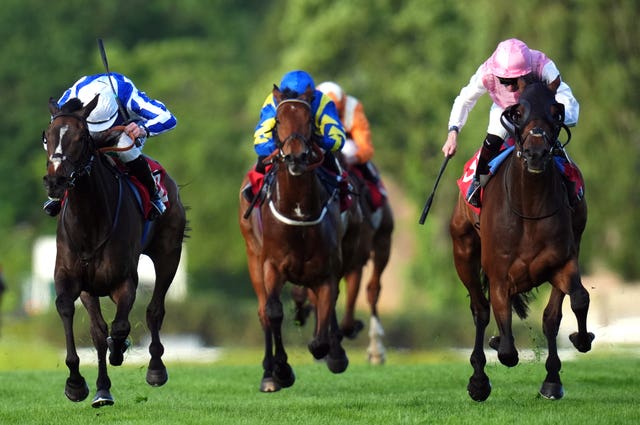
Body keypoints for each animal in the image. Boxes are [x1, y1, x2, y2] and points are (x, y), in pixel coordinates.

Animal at [43, 94, 185, 406]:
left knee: (155, 310)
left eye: (81, 137)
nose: (56, 181)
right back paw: (103, 388)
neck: (90, 222)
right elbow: (78, 318)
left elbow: (120, 327)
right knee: (100, 330)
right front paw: (78, 384)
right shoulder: (73, 279)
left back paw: (155, 368)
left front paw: (119, 351)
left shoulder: (125, 280)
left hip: (169, 254)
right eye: (47, 136)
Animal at [239, 85, 350, 390]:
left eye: (309, 120)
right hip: (253, 257)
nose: (295, 158)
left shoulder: (326, 272)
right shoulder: (271, 266)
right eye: (278, 121)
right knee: (263, 311)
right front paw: (281, 369)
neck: (299, 213)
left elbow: (323, 322)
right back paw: (268, 374)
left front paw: (332, 353)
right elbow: (274, 312)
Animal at [450, 80, 596, 400]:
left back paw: (552, 380)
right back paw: (478, 379)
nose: (536, 153)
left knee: (551, 317)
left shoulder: (563, 262)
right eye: (518, 113)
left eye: (556, 111)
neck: (529, 209)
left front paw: (581, 339)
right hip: (463, 251)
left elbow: (579, 298)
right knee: (480, 310)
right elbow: (506, 349)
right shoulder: (499, 275)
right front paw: (493, 354)